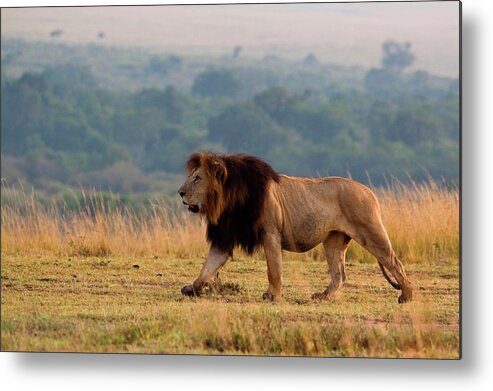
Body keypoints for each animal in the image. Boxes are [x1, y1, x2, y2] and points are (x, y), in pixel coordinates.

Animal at [177, 152, 412, 304]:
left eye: (197, 179)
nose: (180, 192)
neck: (228, 200)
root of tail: (370, 192)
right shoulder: (225, 237)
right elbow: (208, 267)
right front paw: (192, 288)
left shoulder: (271, 233)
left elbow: (274, 270)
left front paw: (272, 296)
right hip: (334, 241)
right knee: (339, 275)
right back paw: (323, 297)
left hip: (370, 232)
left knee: (395, 262)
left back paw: (406, 296)